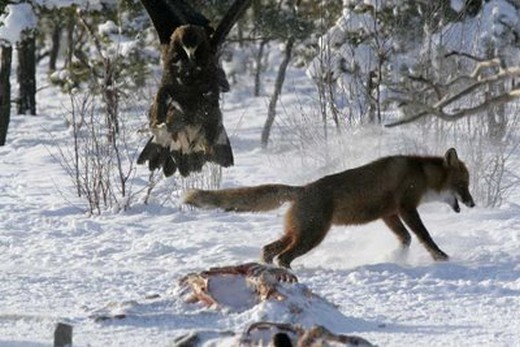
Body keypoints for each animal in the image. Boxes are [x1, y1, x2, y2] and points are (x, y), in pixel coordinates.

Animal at [184, 149, 476, 270]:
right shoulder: (406, 207)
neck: (421, 176)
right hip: (312, 236)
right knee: (283, 257)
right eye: (463, 185)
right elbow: (424, 236)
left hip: (297, 233)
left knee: (268, 250)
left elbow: (405, 238)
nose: (473, 204)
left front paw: (396, 257)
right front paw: (441, 258)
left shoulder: (388, 213)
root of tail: (301, 189)